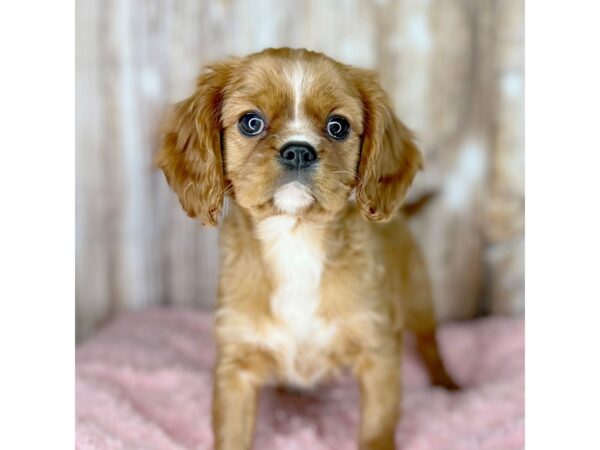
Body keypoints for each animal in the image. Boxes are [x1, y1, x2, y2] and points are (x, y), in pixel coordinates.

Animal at [157, 48, 458, 450]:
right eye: (251, 122)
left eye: (337, 126)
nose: (298, 151)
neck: (295, 238)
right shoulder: (236, 365)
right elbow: (232, 436)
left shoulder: (378, 353)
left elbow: (377, 430)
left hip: (419, 299)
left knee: (430, 343)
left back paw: (447, 384)